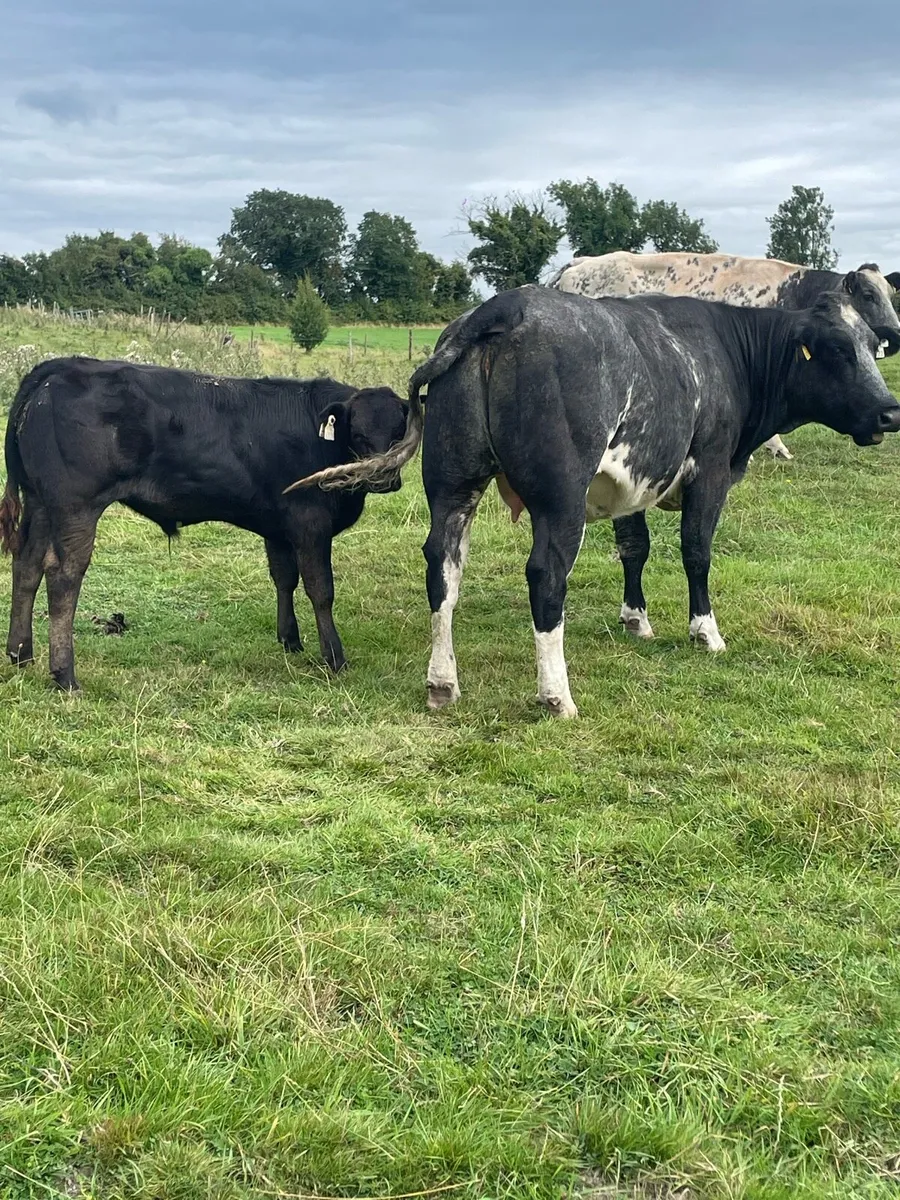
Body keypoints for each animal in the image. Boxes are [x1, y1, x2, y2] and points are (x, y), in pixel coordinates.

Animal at [0, 358, 407, 691]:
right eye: (359, 433)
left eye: (399, 431)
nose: (383, 477)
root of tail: (61, 366)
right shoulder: (311, 523)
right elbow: (321, 590)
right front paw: (334, 658)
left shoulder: (277, 526)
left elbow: (284, 578)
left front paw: (289, 640)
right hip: (75, 506)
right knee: (63, 575)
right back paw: (64, 675)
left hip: (40, 504)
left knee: (27, 565)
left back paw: (21, 654)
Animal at [290, 285, 900, 718]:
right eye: (836, 350)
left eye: (873, 347)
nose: (890, 412)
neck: (727, 353)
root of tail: (502, 308)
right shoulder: (710, 469)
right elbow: (696, 551)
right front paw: (706, 632)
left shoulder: (633, 481)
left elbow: (635, 547)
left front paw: (636, 619)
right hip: (559, 498)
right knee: (545, 575)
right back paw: (556, 695)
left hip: (453, 482)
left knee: (442, 566)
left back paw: (443, 682)